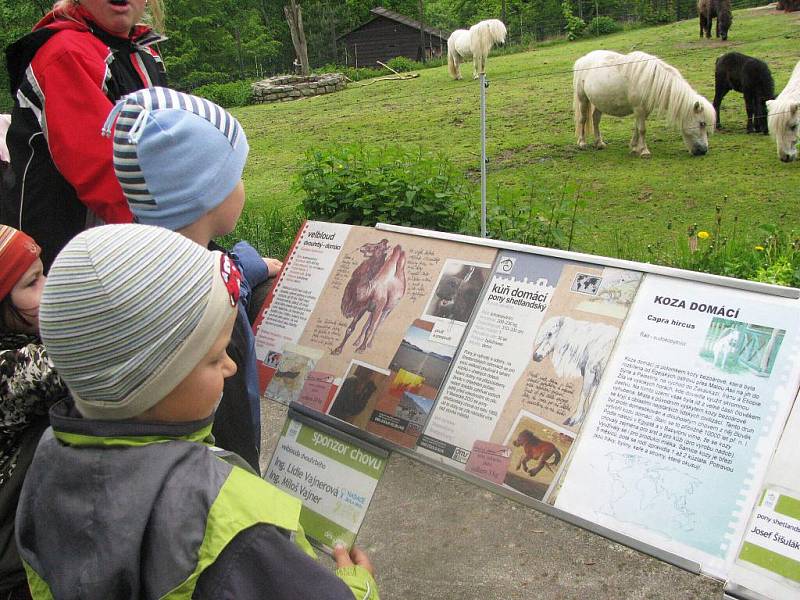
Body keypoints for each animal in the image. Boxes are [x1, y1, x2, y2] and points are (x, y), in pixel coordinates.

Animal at [572, 49, 716, 157]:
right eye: (702, 123)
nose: (703, 151)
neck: (652, 81)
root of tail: (582, 60)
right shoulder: (639, 109)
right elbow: (642, 129)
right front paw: (644, 151)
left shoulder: (644, 110)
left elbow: (637, 128)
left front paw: (635, 147)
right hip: (583, 99)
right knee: (583, 119)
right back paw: (582, 143)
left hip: (599, 102)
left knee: (595, 119)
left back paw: (599, 143)